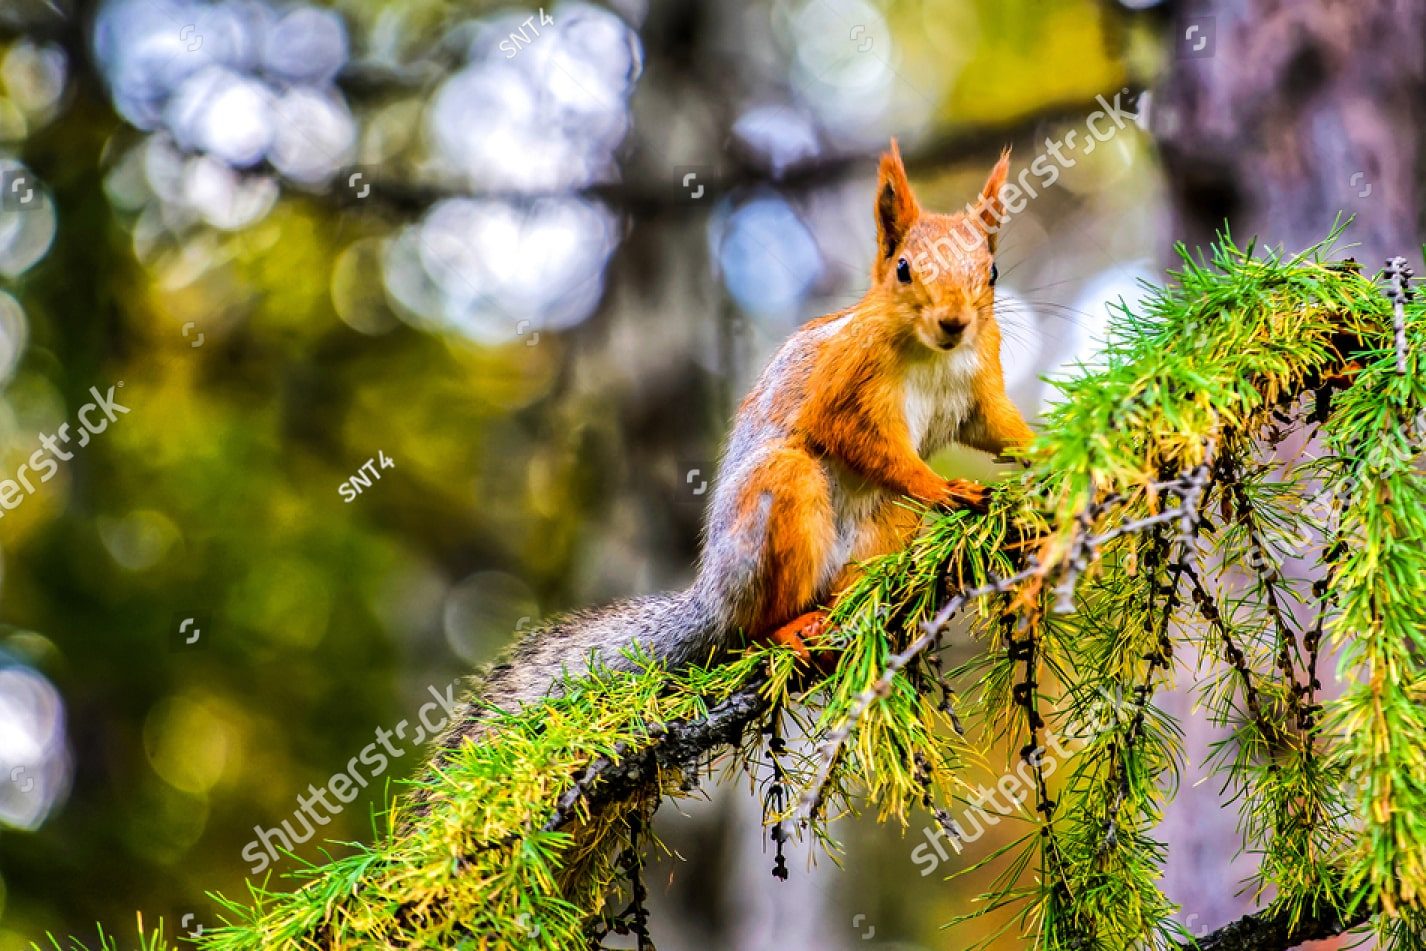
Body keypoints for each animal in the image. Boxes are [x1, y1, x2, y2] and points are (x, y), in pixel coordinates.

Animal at [426, 140, 1034, 766]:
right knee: (754, 628)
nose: (954, 322)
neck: (935, 354)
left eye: (990, 271)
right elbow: (860, 440)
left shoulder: (979, 386)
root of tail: (711, 601)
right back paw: (790, 630)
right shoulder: (845, 386)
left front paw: (1046, 451)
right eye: (904, 269)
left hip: (886, 525)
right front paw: (940, 485)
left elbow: (997, 428)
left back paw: (861, 607)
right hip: (774, 510)